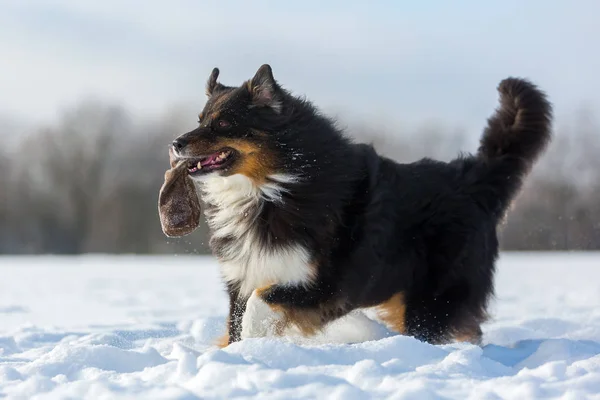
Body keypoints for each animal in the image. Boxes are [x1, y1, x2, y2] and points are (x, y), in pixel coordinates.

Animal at [164, 65, 552, 346]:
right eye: (200, 119)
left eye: (223, 123)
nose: (176, 143)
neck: (275, 187)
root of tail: (473, 178)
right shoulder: (242, 275)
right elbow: (236, 319)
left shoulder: (325, 283)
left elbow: (259, 306)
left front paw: (254, 345)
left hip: (432, 297)